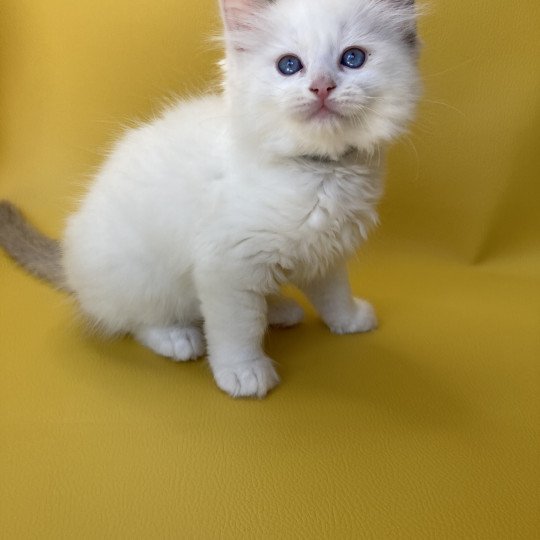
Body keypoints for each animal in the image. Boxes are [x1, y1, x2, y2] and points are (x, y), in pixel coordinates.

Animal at [0, 0, 420, 396]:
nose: (321, 87)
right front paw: (244, 372)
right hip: (144, 276)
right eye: (289, 66)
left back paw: (278, 308)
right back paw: (177, 337)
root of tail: (70, 265)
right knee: (137, 320)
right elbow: (237, 327)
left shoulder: (326, 252)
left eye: (353, 58)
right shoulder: (228, 264)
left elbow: (333, 294)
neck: (320, 172)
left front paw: (349, 320)